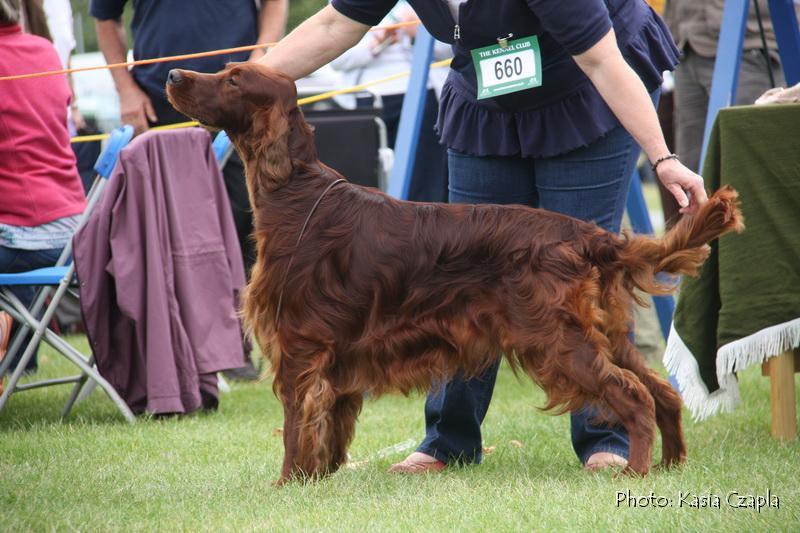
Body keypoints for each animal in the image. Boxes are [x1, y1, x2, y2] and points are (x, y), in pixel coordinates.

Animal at [167, 61, 744, 482]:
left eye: (234, 78)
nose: (173, 75)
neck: (295, 192)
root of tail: (586, 236)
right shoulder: (336, 357)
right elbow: (328, 426)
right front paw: (321, 479)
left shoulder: (299, 346)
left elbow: (294, 427)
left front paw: (288, 484)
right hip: (603, 333)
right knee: (663, 391)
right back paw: (671, 465)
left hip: (557, 340)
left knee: (634, 396)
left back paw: (638, 472)